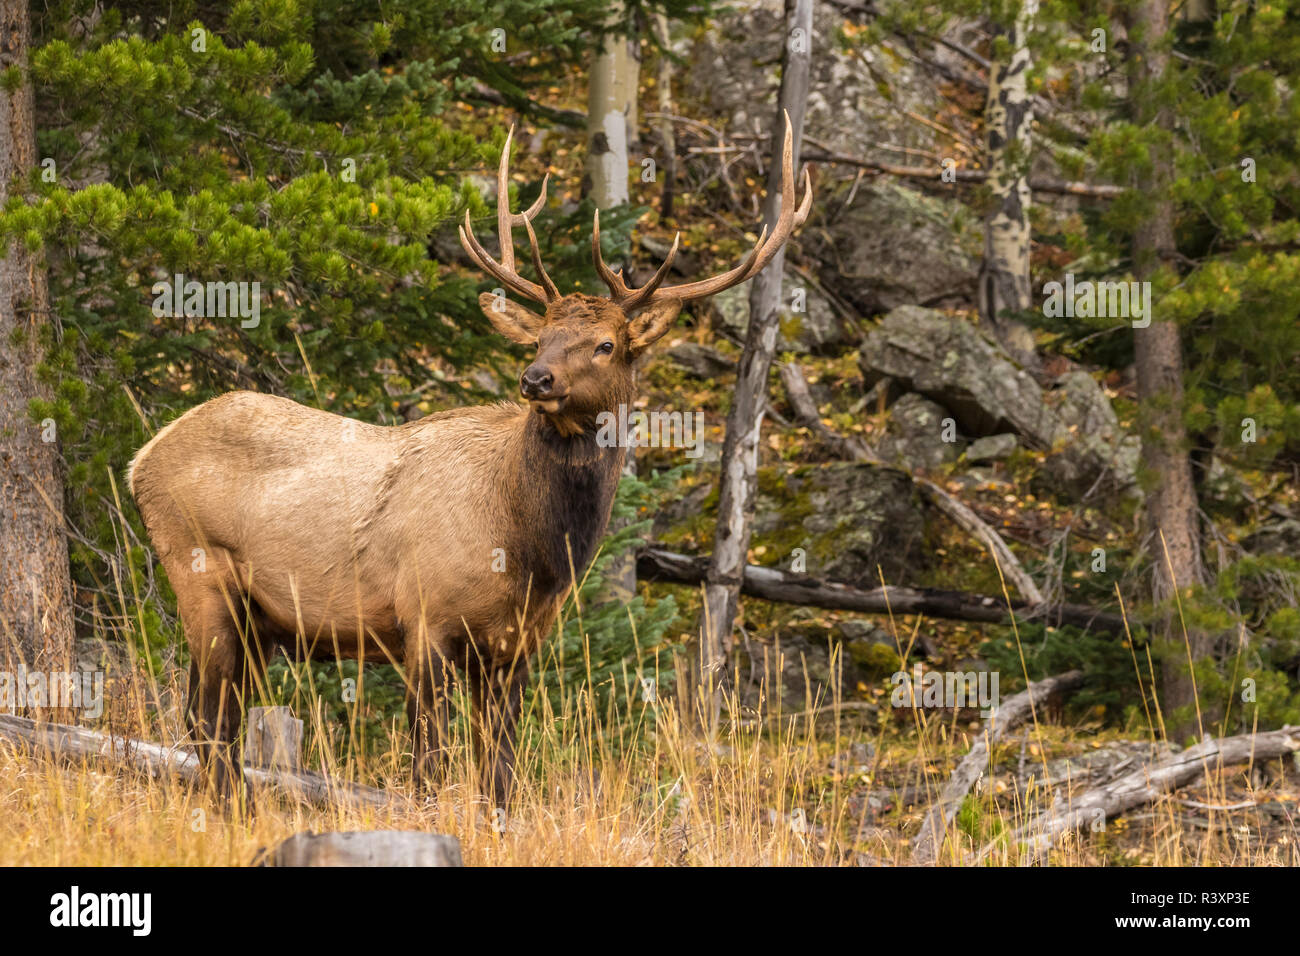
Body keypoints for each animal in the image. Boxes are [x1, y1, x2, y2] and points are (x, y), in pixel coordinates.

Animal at [128, 118, 812, 807]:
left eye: (606, 344)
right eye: (541, 337)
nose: (535, 378)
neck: (530, 553)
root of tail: (141, 458)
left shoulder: (516, 647)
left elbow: (499, 773)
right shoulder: (423, 617)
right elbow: (428, 765)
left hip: (256, 621)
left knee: (212, 721)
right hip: (201, 574)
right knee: (208, 721)